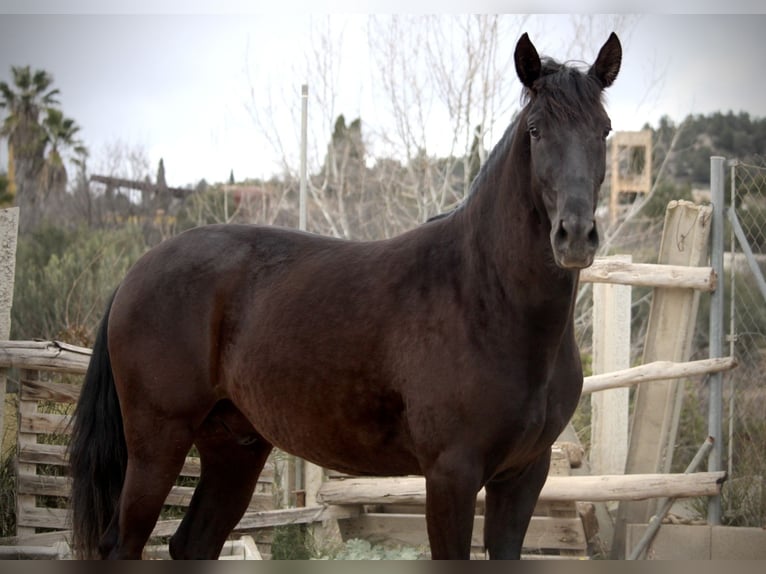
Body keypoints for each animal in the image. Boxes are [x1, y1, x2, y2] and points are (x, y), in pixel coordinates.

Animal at [70, 33, 624, 560]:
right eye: (535, 131)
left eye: (604, 130)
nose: (575, 235)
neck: (488, 301)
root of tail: (138, 271)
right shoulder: (452, 474)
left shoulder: (525, 475)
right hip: (157, 442)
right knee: (122, 543)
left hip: (235, 448)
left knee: (193, 544)